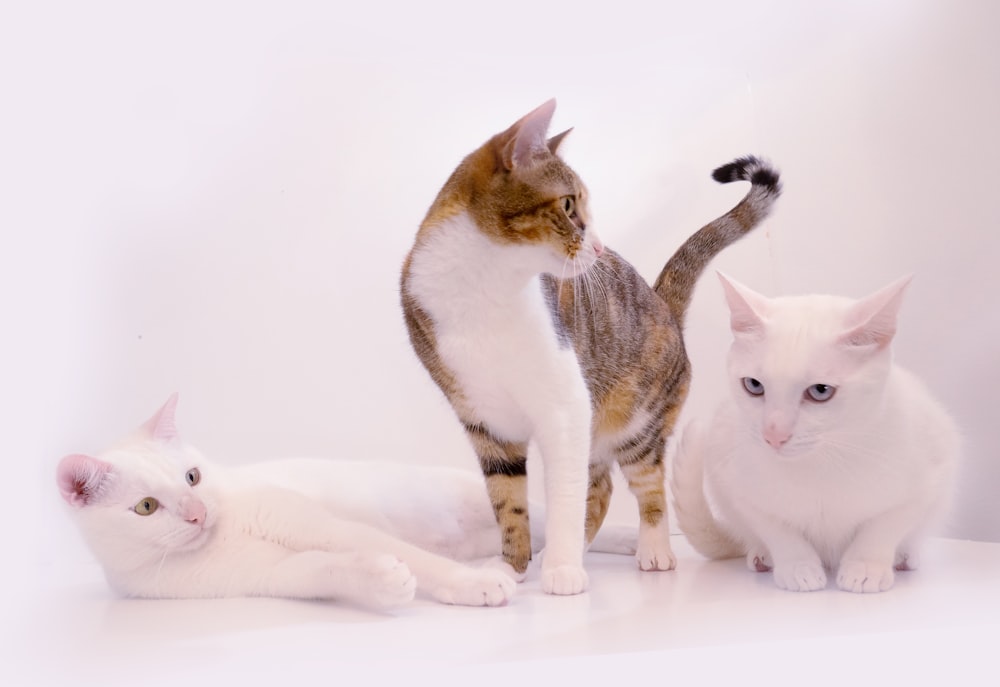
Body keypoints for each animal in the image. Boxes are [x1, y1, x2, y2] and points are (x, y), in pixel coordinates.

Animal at [58, 396, 632, 612]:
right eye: (147, 507)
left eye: (192, 478)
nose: (199, 514)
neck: (222, 537)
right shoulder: (270, 576)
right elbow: (322, 570)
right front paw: (382, 581)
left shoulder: (317, 523)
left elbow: (399, 554)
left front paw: (469, 586)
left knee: (566, 525)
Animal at [398, 98, 780, 596]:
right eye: (567, 204)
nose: (598, 248)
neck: (481, 290)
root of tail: (662, 303)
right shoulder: (484, 423)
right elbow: (508, 502)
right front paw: (511, 567)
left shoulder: (565, 405)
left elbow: (564, 495)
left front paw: (562, 569)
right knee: (599, 488)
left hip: (637, 421)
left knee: (644, 485)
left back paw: (653, 550)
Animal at [672, 272, 960, 592]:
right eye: (754, 385)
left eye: (820, 391)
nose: (774, 435)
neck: (823, 462)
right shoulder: (735, 484)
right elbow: (777, 529)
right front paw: (798, 566)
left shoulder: (931, 474)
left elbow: (884, 526)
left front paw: (865, 566)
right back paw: (762, 555)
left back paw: (905, 557)